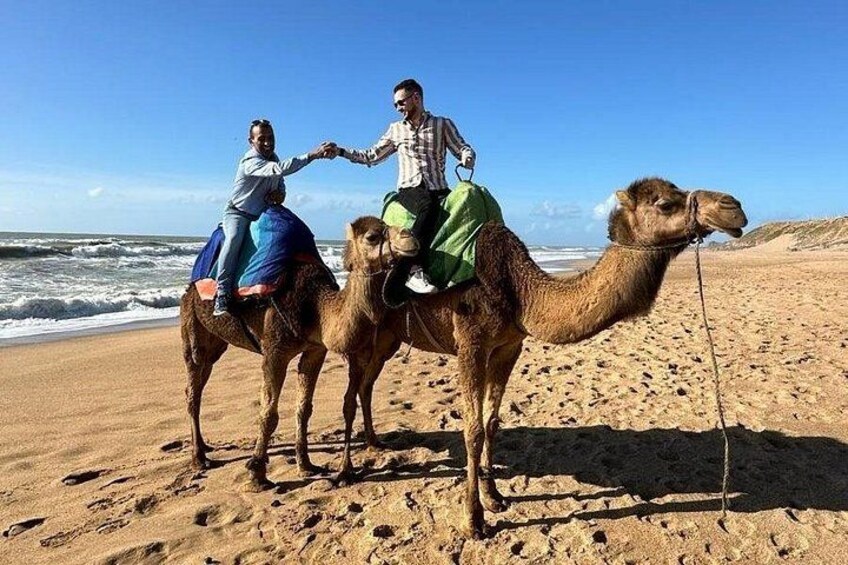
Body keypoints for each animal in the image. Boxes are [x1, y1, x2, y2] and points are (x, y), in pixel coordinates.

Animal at [180, 216, 417, 490]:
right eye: (372, 237)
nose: (411, 237)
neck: (316, 308)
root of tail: (190, 287)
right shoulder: (274, 352)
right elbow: (268, 413)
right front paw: (257, 474)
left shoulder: (315, 350)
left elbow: (304, 408)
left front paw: (305, 464)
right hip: (191, 328)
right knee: (192, 387)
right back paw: (199, 458)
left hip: (215, 345)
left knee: (199, 383)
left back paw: (205, 447)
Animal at [338, 178, 748, 538]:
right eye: (664, 203)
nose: (733, 206)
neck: (520, 290)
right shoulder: (470, 344)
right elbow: (472, 430)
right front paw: (474, 521)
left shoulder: (508, 346)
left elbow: (492, 423)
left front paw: (495, 497)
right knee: (353, 391)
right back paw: (345, 472)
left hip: (387, 339)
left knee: (366, 386)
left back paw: (374, 444)